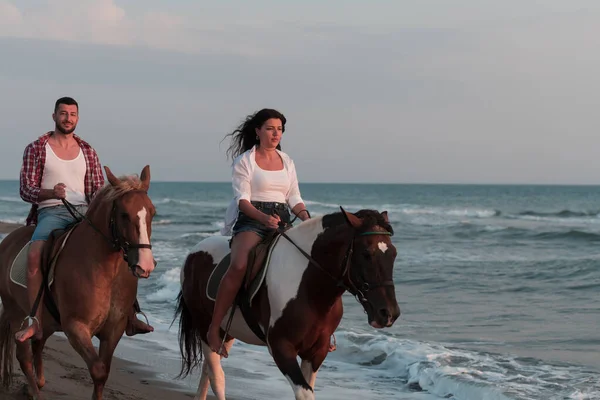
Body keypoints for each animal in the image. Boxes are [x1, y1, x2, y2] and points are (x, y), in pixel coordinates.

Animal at [0, 164, 157, 398]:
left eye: (153, 213)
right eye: (124, 214)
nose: (145, 265)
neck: (107, 272)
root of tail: (7, 241)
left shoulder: (115, 328)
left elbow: (103, 372)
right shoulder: (76, 327)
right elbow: (98, 370)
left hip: (45, 321)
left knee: (38, 344)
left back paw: (36, 383)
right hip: (16, 313)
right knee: (24, 356)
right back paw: (35, 391)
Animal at [173, 208, 400, 398]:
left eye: (394, 254)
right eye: (366, 254)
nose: (388, 313)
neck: (309, 289)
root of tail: (194, 252)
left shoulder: (317, 351)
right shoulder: (282, 348)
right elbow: (305, 393)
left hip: (227, 332)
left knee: (208, 371)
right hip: (204, 325)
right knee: (216, 375)